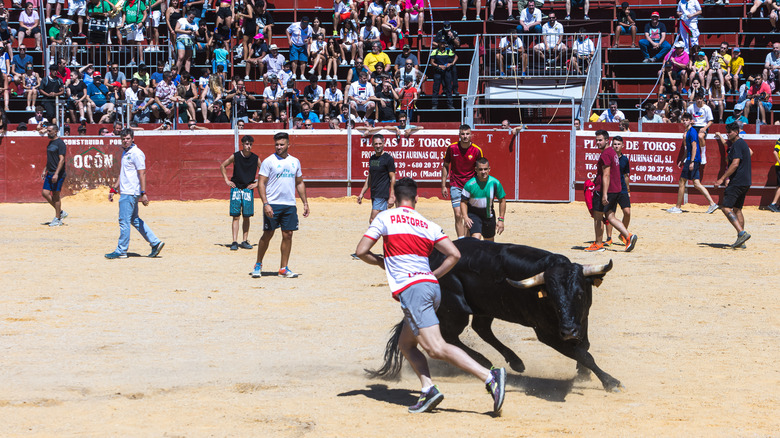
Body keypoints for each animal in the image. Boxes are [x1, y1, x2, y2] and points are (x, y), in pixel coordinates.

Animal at [368, 238, 624, 392]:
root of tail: (433, 260)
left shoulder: (582, 318)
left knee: (481, 329)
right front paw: (611, 382)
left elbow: (584, 347)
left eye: (580, 293)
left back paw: (515, 361)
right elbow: (583, 353)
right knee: (451, 336)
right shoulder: (547, 334)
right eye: (549, 297)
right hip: (457, 309)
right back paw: (484, 361)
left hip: (485, 307)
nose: (568, 331)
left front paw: (583, 373)